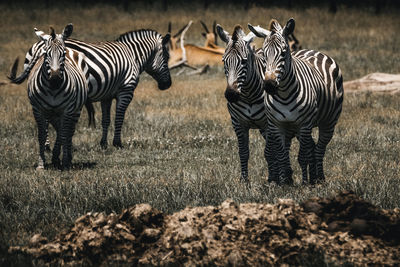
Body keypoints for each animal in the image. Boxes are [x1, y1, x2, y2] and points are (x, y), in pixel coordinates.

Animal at [9, 27, 172, 151]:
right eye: (167, 56)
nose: (168, 85)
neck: (133, 55)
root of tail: (41, 45)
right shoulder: (126, 90)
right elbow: (119, 118)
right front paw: (117, 144)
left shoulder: (107, 95)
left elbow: (106, 120)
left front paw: (104, 144)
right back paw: (50, 146)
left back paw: (48, 146)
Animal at [24, 24, 89, 170]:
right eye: (46, 54)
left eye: (63, 54)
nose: (55, 79)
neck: (53, 90)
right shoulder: (38, 110)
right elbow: (42, 135)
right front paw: (41, 165)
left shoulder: (67, 110)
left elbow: (64, 134)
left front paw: (64, 163)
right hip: (53, 114)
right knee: (59, 130)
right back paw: (55, 158)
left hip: (75, 110)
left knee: (68, 132)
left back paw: (66, 158)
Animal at [216, 24, 268, 184]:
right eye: (223, 61)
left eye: (244, 61)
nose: (231, 95)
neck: (249, 94)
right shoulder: (238, 124)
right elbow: (243, 152)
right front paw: (244, 181)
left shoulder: (268, 124)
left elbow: (270, 151)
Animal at [247, 18, 344, 185]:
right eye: (264, 55)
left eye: (283, 53)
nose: (269, 85)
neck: (284, 94)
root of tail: (313, 51)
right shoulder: (277, 125)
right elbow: (281, 155)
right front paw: (284, 182)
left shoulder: (304, 124)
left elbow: (302, 156)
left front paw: (304, 183)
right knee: (312, 147)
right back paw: (312, 177)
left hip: (329, 121)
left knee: (320, 148)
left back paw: (318, 179)